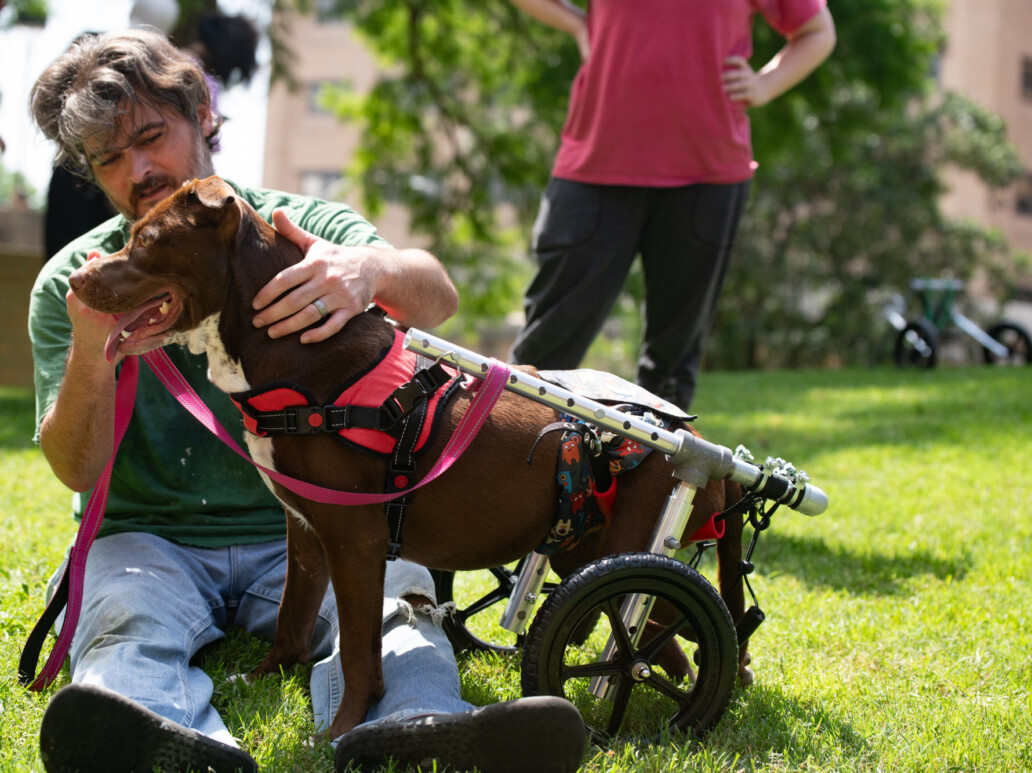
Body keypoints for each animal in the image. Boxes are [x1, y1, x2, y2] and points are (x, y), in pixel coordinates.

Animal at [68, 176, 751, 743]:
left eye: (147, 240)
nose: (75, 279)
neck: (290, 354)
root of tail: (706, 456)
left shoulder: (356, 541)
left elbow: (358, 652)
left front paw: (342, 730)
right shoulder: (307, 530)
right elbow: (292, 618)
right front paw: (263, 681)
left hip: (630, 553)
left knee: (677, 630)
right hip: (584, 549)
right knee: (667, 637)